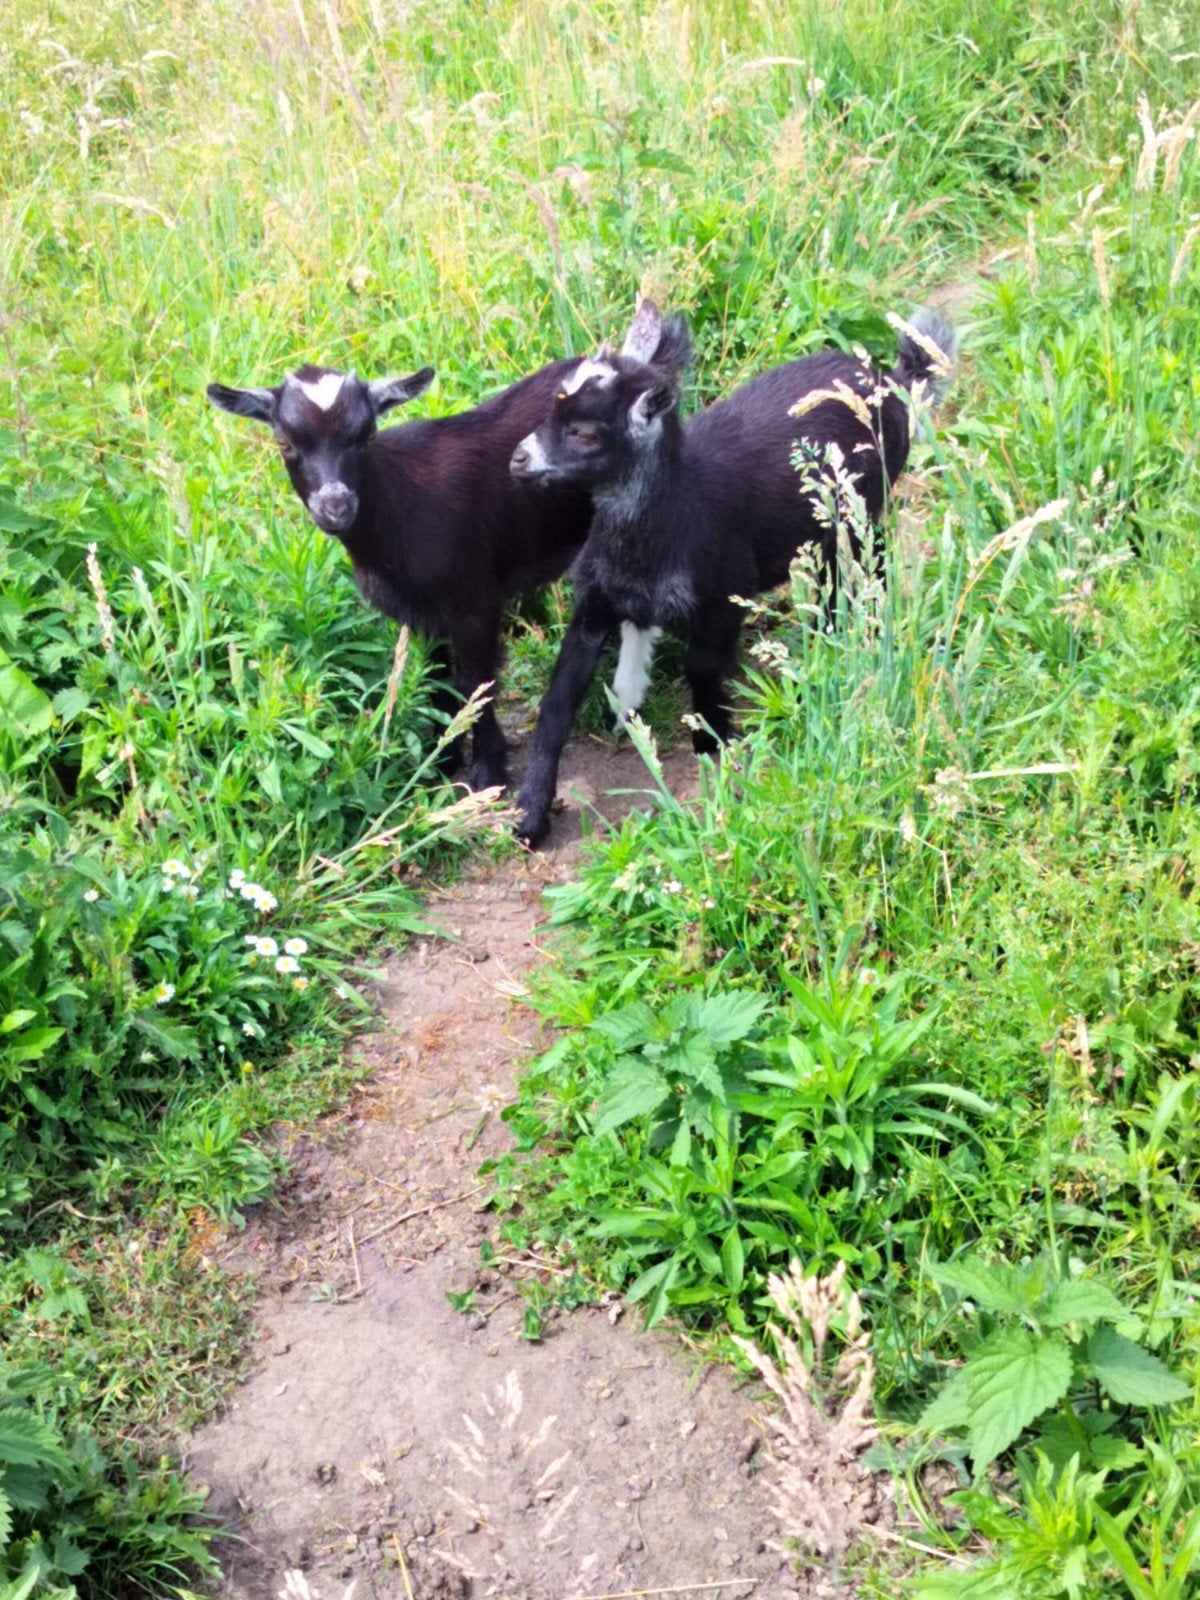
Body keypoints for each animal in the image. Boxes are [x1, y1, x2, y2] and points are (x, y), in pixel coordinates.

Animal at [209, 356, 610, 790]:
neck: (402, 506)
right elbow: (437, 677)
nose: (336, 508)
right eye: (284, 443)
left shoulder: (475, 601)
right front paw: (439, 760)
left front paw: (487, 771)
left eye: (366, 435)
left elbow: (475, 682)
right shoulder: (422, 611)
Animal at [509, 301, 956, 845]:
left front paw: (713, 738)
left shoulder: (724, 592)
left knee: (865, 573)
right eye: (553, 410)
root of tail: (891, 381)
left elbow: (701, 664)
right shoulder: (596, 602)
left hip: (861, 512)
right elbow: (556, 702)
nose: (518, 460)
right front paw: (529, 814)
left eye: (585, 433)